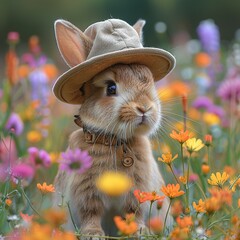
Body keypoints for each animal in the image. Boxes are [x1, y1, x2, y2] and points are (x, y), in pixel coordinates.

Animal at [53, 17, 176, 239]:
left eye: (150, 82)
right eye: (111, 87)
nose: (144, 107)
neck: (114, 140)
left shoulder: (137, 190)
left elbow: (133, 212)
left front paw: (138, 231)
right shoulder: (87, 191)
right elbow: (91, 213)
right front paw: (93, 234)